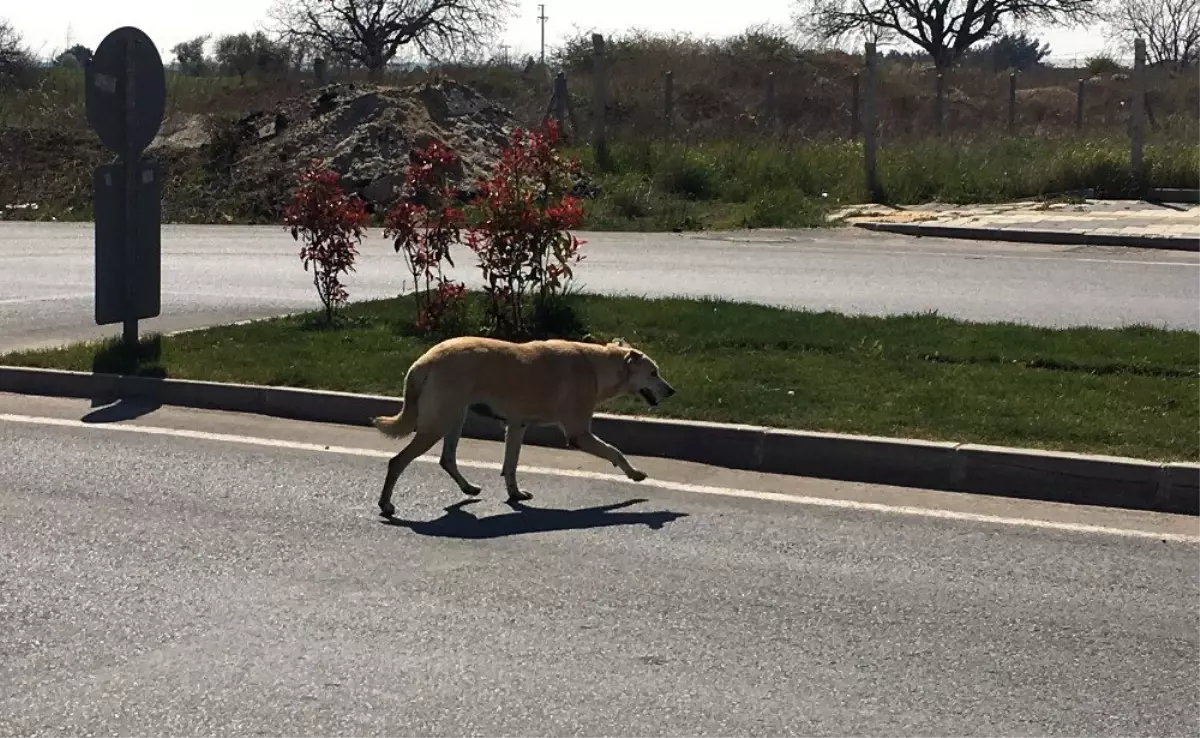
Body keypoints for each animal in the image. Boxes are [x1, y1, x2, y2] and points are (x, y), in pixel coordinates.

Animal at [369, 336, 676, 516]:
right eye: (653, 373)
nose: (672, 391)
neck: (596, 366)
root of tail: (421, 363)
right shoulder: (578, 434)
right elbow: (615, 451)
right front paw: (634, 474)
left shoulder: (517, 426)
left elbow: (510, 465)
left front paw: (514, 494)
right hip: (438, 422)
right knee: (397, 461)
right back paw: (386, 503)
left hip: (455, 417)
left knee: (447, 459)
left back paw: (468, 488)